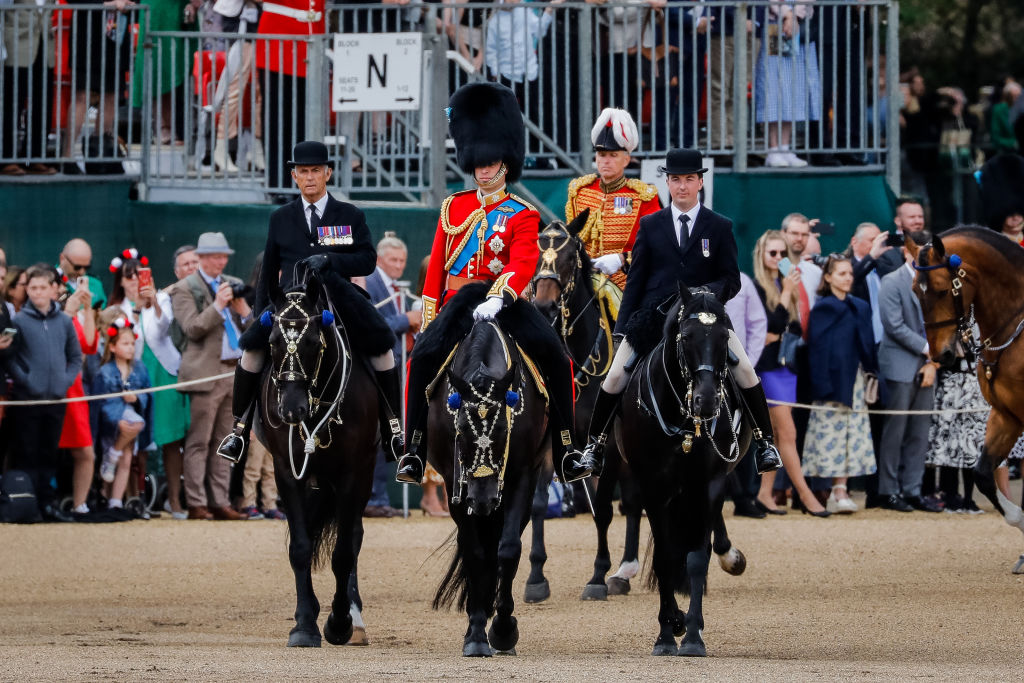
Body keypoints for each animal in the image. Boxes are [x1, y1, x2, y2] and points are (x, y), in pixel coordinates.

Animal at [256, 280, 380, 651]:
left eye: (312, 341)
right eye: (272, 341)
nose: (290, 410)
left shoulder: (352, 474)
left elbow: (343, 553)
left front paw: (338, 623)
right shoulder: (287, 471)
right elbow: (300, 547)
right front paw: (304, 623)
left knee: (352, 536)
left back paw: (353, 616)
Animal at [428, 309, 548, 655]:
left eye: (504, 430)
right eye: (460, 430)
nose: (482, 500)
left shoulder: (523, 474)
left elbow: (507, 549)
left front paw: (503, 629)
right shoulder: (453, 482)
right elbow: (475, 552)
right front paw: (477, 633)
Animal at [524, 214, 643, 602]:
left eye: (567, 257)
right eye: (536, 255)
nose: (544, 308)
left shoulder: (605, 447)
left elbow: (603, 510)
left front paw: (597, 576)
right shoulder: (554, 444)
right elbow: (538, 504)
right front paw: (535, 578)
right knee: (634, 500)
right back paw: (626, 572)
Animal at [614, 286, 753, 655]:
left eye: (724, 336)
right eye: (687, 337)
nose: (706, 401)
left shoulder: (709, 484)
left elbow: (695, 559)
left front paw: (692, 635)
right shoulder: (653, 487)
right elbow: (664, 558)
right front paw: (667, 632)